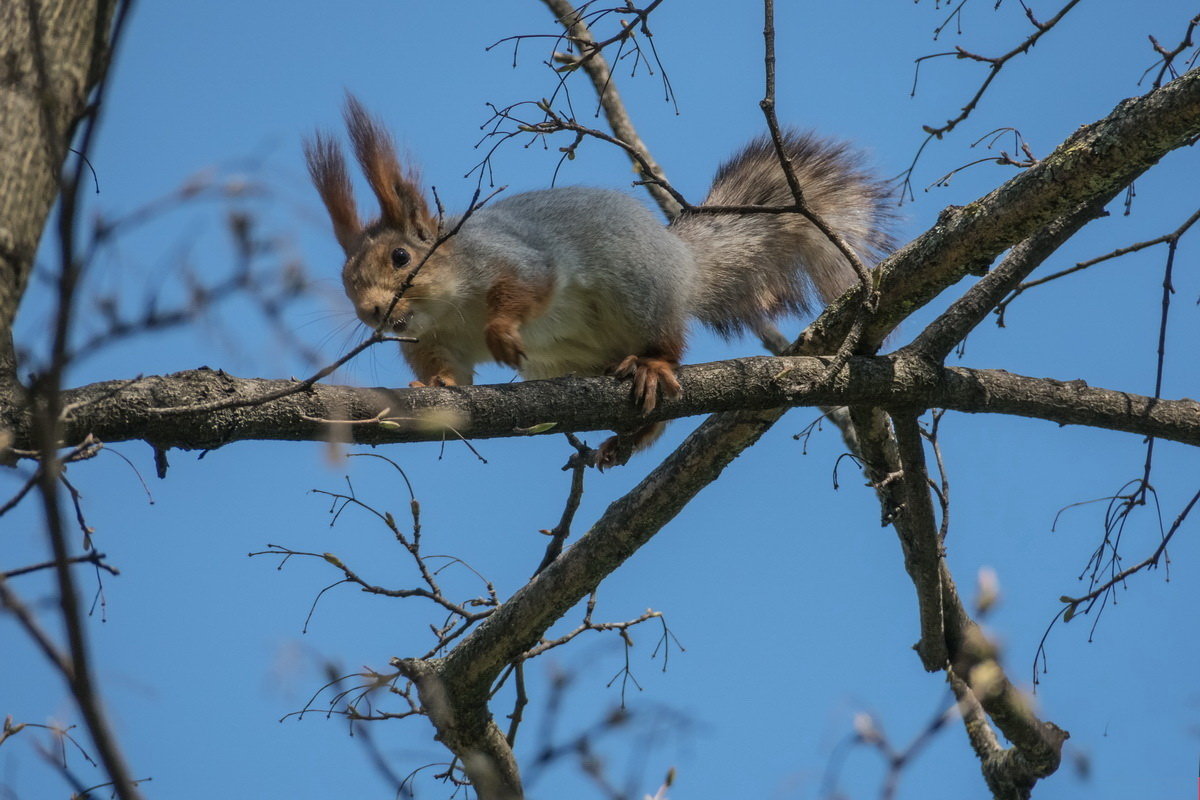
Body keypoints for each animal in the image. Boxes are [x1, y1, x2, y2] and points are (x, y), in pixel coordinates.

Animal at [307, 97, 892, 465]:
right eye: (346, 279)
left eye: (401, 257)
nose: (371, 312)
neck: (448, 307)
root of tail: (680, 261)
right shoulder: (430, 339)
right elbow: (451, 372)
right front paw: (434, 386)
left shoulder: (518, 259)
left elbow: (527, 290)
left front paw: (502, 334)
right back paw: (630, 433)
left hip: (640, 293)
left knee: (669, 347)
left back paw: (652, 369)